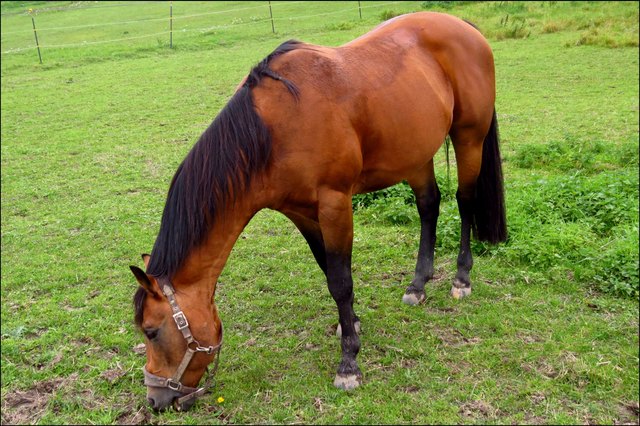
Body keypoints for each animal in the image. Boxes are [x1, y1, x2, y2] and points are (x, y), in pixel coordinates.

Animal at [129, 11, 506, 412]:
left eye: (151, 331)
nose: (155, 398)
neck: (271, 129)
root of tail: (465, 27)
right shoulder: (300, 212)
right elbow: (328, 269)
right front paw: (350, 323)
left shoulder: (335, 203)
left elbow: (340, 281)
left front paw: (349, 363)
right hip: (415, 151)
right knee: (428, 206)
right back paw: (418, 285)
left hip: (469, 137)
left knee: (464, 203)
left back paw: (461, 279)